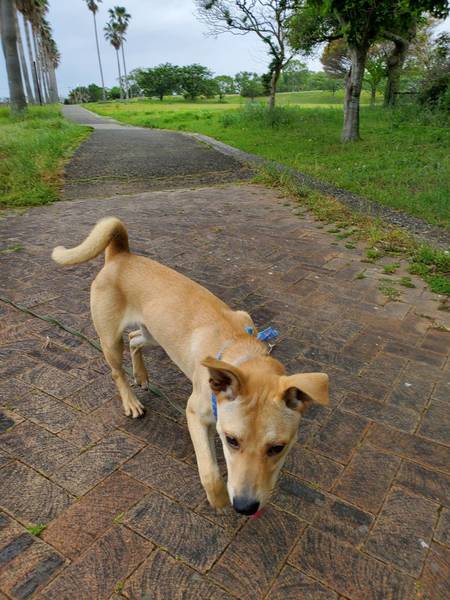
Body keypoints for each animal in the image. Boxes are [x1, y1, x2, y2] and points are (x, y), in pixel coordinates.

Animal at [52, 217, 329, 516]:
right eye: (231, 440)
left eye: (277, 447)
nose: (245, 507)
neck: (239, 351)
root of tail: (120, 254)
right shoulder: (194, 413)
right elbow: (209, 471)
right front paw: (219, 500)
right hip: (111, 340)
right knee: (117, 371)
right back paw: (131, 402)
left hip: (153, 332)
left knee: (135, 339)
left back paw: (142, 375)